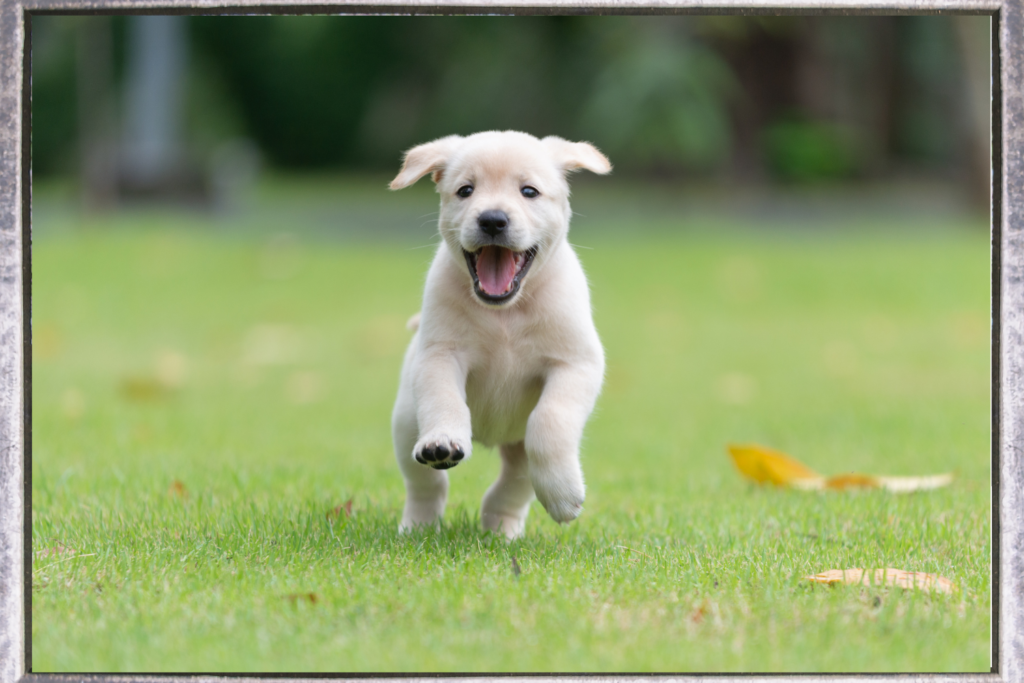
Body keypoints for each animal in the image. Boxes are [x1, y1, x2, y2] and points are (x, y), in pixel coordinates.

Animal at [385, 129, 606, 540]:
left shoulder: (576, 363)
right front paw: (443, 440)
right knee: (425, 483)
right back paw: (419, 525)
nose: (492, 220)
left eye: (529, 191)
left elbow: (549, 420)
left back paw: (501, 527)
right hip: (406, 422)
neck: (504, 314)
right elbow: (445, 401)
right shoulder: (440, 355)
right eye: (465, 190)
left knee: (515, 483)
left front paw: (564, 495)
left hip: (517, 448)